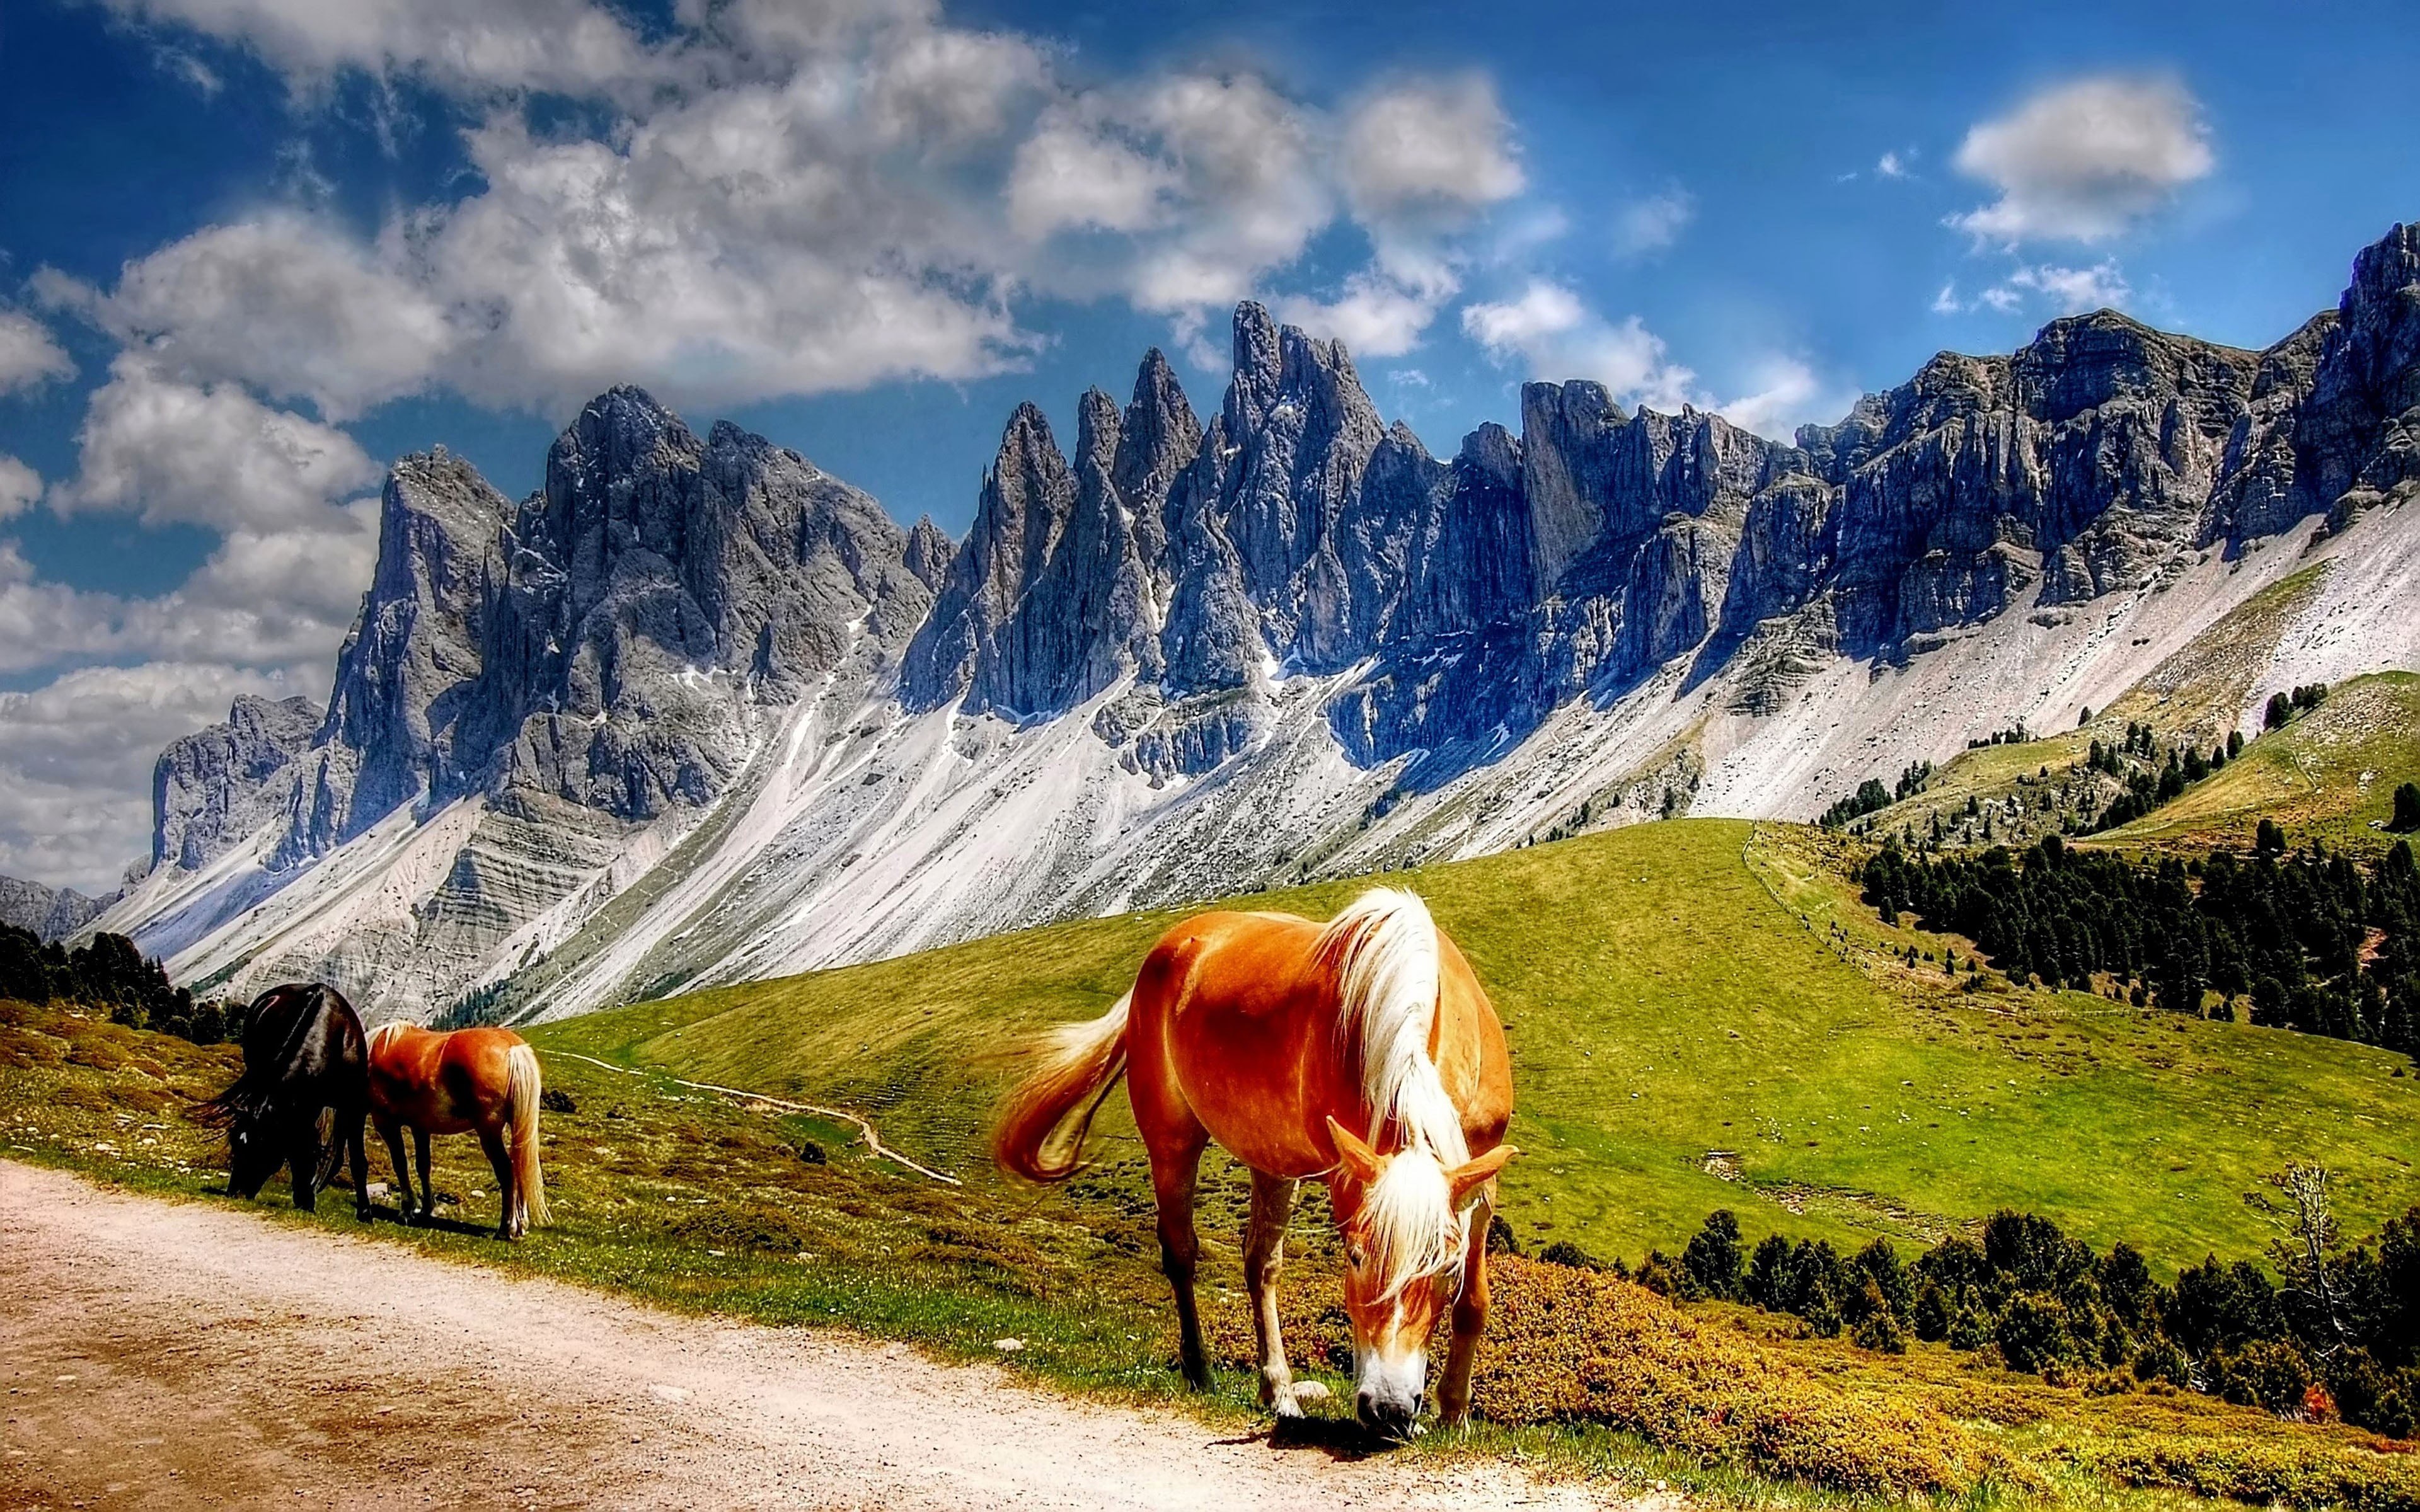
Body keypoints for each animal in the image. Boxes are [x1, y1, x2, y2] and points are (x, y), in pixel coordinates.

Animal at [194, 982, 372, 1218]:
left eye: (263, 1150)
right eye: (236, 1145)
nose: (235, 1193)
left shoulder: (354, 1106)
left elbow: (356, 1161)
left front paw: (365, 1213)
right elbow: (301, 1148)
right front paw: (305, 1198)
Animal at [365, 1022, 550, 1240]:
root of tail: (513, 1047)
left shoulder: (386, 1123)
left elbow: (400, 1164)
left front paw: (407, 1210)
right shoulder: (420, 1127)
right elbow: (423, 1166)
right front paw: (427, 1209)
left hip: (489, 1132)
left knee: (507, 1171)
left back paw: (506, 1228)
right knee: (519, 1166)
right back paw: (520, 1225)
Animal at [993, 887, 1515, 1439]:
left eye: (1446, 1267)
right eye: (1355, 1257)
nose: (1388, 1409)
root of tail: (1171, 945)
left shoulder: (1481, 1181)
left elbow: (1474, 1302)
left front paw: (1454, 1413)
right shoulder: (1346, 1178)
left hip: (1273, 1164)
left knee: (1260, 1264)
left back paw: (1278, 1390)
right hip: (1172, 1141)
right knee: (1181, 1252)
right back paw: (1201, 1371)